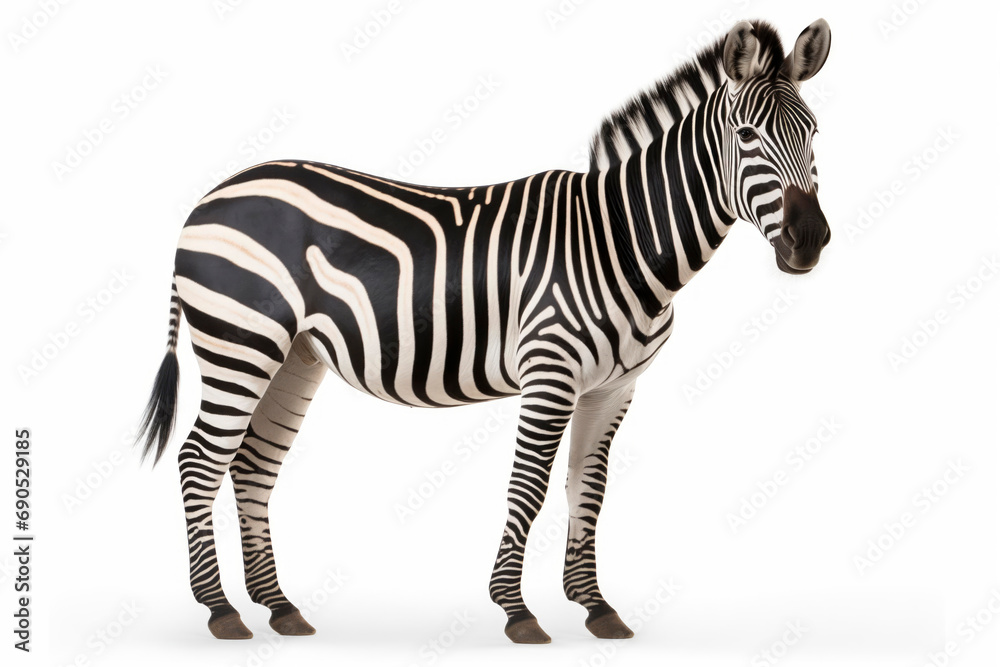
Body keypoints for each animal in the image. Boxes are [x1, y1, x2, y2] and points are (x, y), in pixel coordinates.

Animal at [136, 18, 832, 644]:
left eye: (815, 133)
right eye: (747, 135)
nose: (810, 241)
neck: (623, 241)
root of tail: (207, 199)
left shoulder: (613, 388)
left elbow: (590, 489)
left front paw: (595, 606)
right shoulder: (550, 373)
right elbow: (528, 489)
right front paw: (516, 611)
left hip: (294, 355)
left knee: (253, 464)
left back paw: (278, 607)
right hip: (240, 340)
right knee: (200, 458)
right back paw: (220, 610)